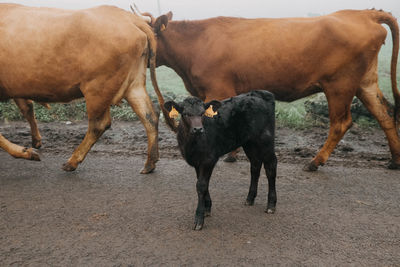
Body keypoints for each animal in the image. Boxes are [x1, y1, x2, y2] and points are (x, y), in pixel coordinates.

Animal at [0, 3, 175, 174]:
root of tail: (130, 19)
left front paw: (25, 152)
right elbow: (26, 108)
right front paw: (32, 145)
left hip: (98, 88)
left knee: (99, 124)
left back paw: (73, 161)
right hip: (134, 85)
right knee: (150, 116)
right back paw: (150, 163)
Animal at [137, 8, 400, 172]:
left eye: (146, 33)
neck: (195, 44)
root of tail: (364, 13)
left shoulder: (218, 88)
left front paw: (229, 154)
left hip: (339, 85)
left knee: (341, 123)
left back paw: (315, 161)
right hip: (365, 82)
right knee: (385, 114)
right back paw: (395, 159)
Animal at [164, 91, 276, 231]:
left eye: (202, 113)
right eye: (185, 114)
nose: (198, 129)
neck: (192, 144)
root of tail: (260, 93)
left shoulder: (209, 159)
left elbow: (201, 185)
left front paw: (199, 218)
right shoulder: (197, 161)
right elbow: (202, 183)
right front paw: (207, 208)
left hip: (266, 139)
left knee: (271, 167)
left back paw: (271, 205)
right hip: (249, 142)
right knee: (255, 165)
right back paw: (250, 198)